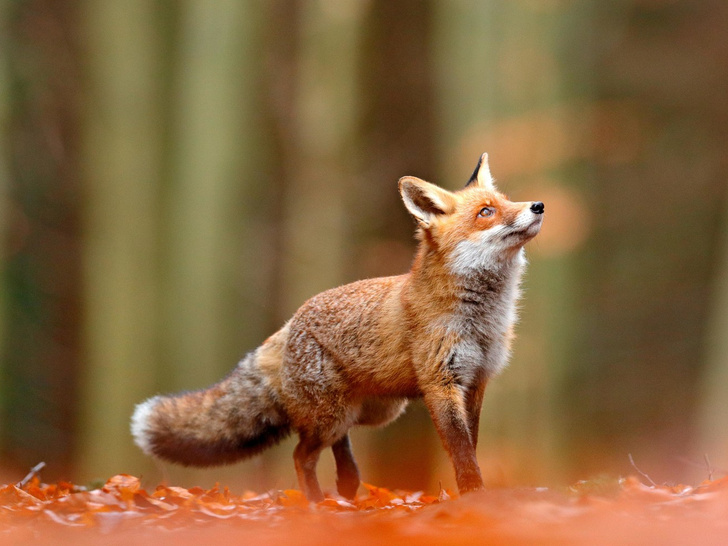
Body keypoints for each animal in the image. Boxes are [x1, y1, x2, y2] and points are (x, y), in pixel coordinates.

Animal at [131, 151, 544, 500]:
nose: (538, 205)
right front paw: (473, 495)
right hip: (333, 415)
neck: (482, 319)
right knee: (302, 455)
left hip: (372, 411)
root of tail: (288, 325)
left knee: (338, 443)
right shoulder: (441, 382)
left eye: (507, 201)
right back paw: (316, 505)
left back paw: (347, 486)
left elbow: (470, 445)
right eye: (486, 212)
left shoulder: (476, 381)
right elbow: (460, 451)